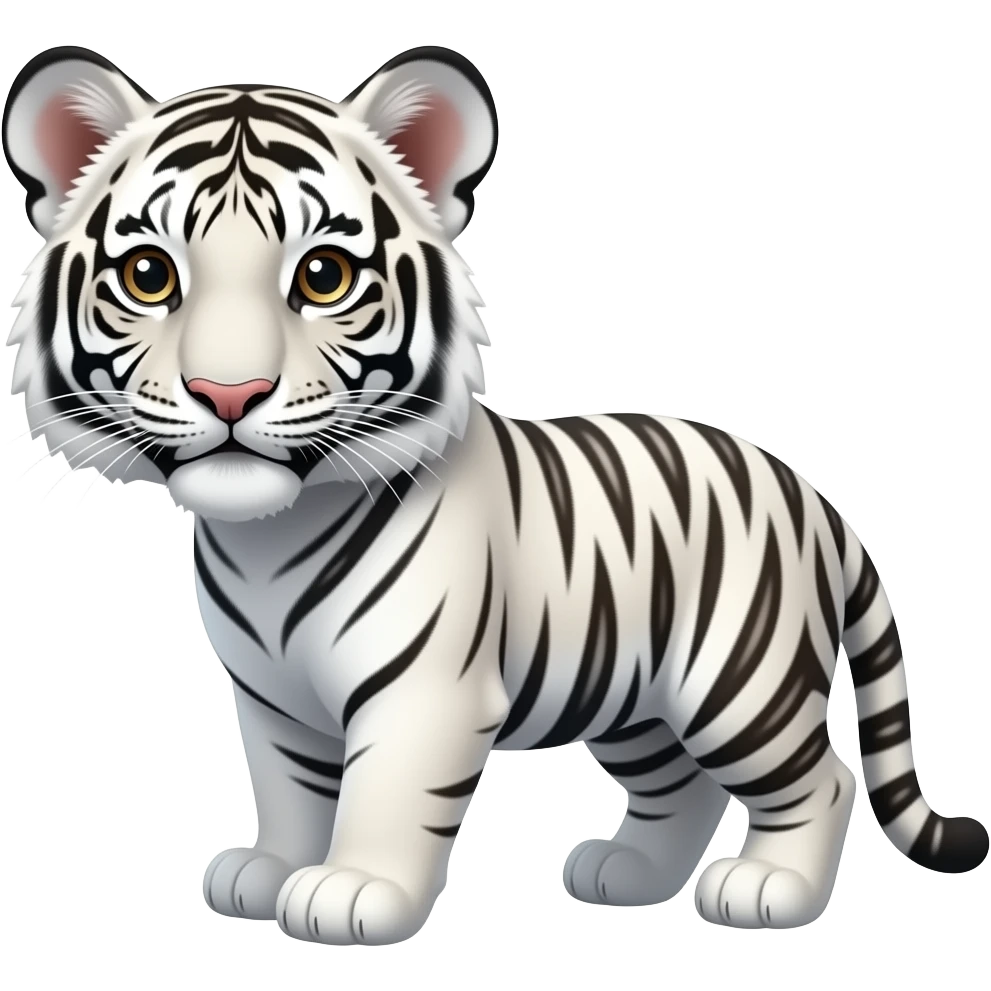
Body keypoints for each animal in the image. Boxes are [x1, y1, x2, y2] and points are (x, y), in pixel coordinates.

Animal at [3, 42, 987, 947]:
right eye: (149, 276)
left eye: (323, 276)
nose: (230, 393)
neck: (265, 540)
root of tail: (811, 494)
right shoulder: (274, 701)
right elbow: (292, 790)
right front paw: (271, 868)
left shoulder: (421, 692)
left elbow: (386, 793)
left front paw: (351, 892)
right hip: (633, 698)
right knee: (681, 784)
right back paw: (625, 872)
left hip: (737, 679)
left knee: (822, 778)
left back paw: (767, 889)